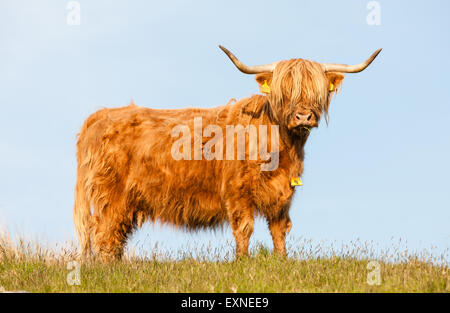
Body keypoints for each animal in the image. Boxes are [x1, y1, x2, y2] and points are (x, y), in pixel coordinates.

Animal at [73, 45, 380, 260]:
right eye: (284, 92)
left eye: (317, 91)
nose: (303, 117)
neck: (283, 148)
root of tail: (100, 115)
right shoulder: (237, 191)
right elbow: (244, 228)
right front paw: (242, 262)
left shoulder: (284, 194)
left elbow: (280, 229)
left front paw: (283, 260)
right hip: (111, 197)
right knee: (105, 235)